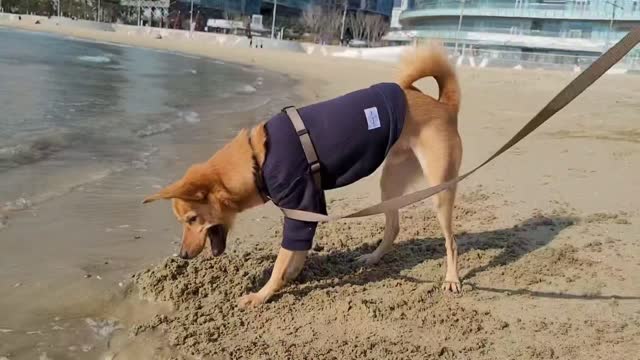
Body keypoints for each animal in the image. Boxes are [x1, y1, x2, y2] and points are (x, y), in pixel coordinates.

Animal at [143, 46, 460, 308]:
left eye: (192, 220)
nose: (182, 256)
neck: (255, 159)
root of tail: (444, 105)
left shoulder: (301, 210)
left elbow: (281, 262)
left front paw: (262, 295)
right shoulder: (308, 209)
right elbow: (295, 254)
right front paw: (292, 275)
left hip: (441, 190)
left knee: (451, 241)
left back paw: (452, 278)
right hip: (390, 183)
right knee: (393, 227)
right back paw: (373, 258)